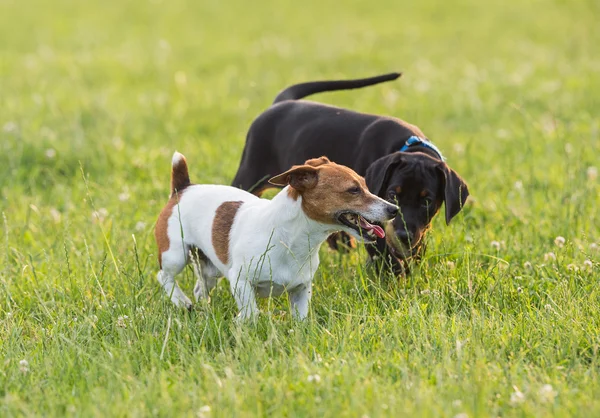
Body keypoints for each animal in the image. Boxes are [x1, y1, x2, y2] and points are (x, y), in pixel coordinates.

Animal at [155, 152, 398, 318]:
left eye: (366, 185)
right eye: (353, 190)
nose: (394, 209)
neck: (291, 238)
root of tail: (183, 188)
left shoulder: (301, 290)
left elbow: (301, 319)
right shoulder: (240, 281)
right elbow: (251, 313)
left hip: (210, 269)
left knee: (200, 288)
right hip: (175, 255)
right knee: (164, 276)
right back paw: (181, 301)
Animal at [231, 72, 468, 274]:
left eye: (427, 201)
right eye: (393, 194)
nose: (403, 236)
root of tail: (280, 102)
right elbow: (387, 255)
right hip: (249, 174)